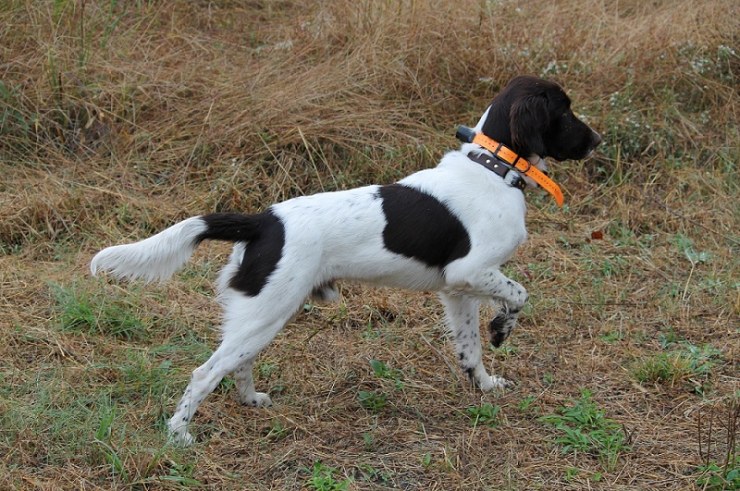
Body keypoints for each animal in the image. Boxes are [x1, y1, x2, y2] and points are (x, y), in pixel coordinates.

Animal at [91, 74, 600, 446]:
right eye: (565, 110)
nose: (596, 140)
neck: (494, 169)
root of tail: (264, 220)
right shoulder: (471, 271)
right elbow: (520, 295)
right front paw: (502, 329)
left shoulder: (458, 290)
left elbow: (469, 348)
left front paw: (485, 384)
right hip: (268, 310)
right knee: (204, 372)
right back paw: (179, 432)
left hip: (264, 314)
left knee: (237, 363)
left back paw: (250, 401)